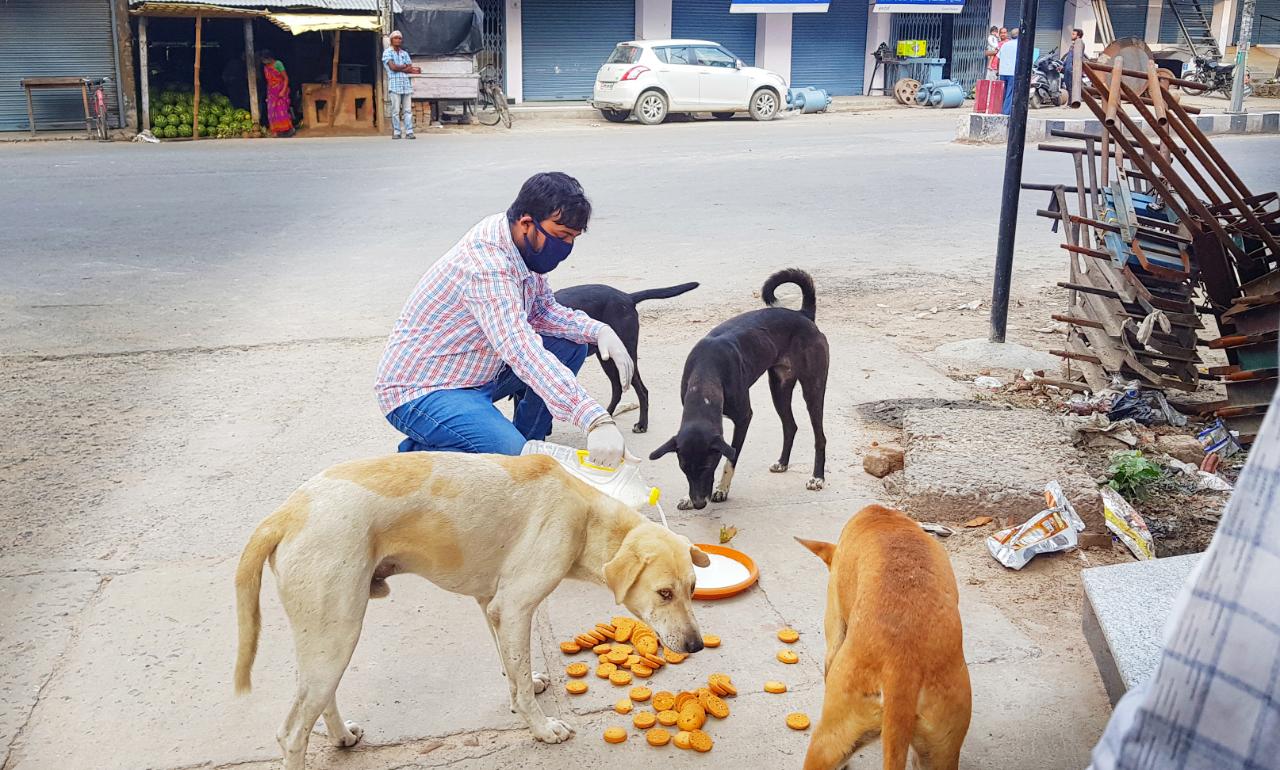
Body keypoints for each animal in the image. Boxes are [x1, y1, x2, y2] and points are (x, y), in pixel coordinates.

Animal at [234, 450, 706, 767]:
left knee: (317, 700)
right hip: (338, 633)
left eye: (693, 588)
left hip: (327, 637)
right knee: (291, 733)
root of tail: (285, 513)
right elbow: (519, 681)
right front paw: (541, 728)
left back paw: (341, 736)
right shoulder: (515, 607)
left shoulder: (491, 605)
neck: (585, 517)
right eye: (664, 593)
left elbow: (513, 668)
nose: (697, 646)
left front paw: (525, 686)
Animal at [555, 280, 701, 432]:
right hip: (608, 359)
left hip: (626, 358)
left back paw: (642, 424)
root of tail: (627, 297)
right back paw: (607, 415)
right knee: (617, 389)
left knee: (642, 391)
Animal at [650, 269, 829, 509]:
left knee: (819, 436)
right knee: (790, 426)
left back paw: (817, 477)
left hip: (813, 388)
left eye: (708, 467)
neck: (706, 372)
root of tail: (803, 315)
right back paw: (782, 463)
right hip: (779, 388)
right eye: (683, 468)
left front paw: (722, 490)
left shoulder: (744, 418)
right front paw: (688, 498)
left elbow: (731, 458)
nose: (698, 503)